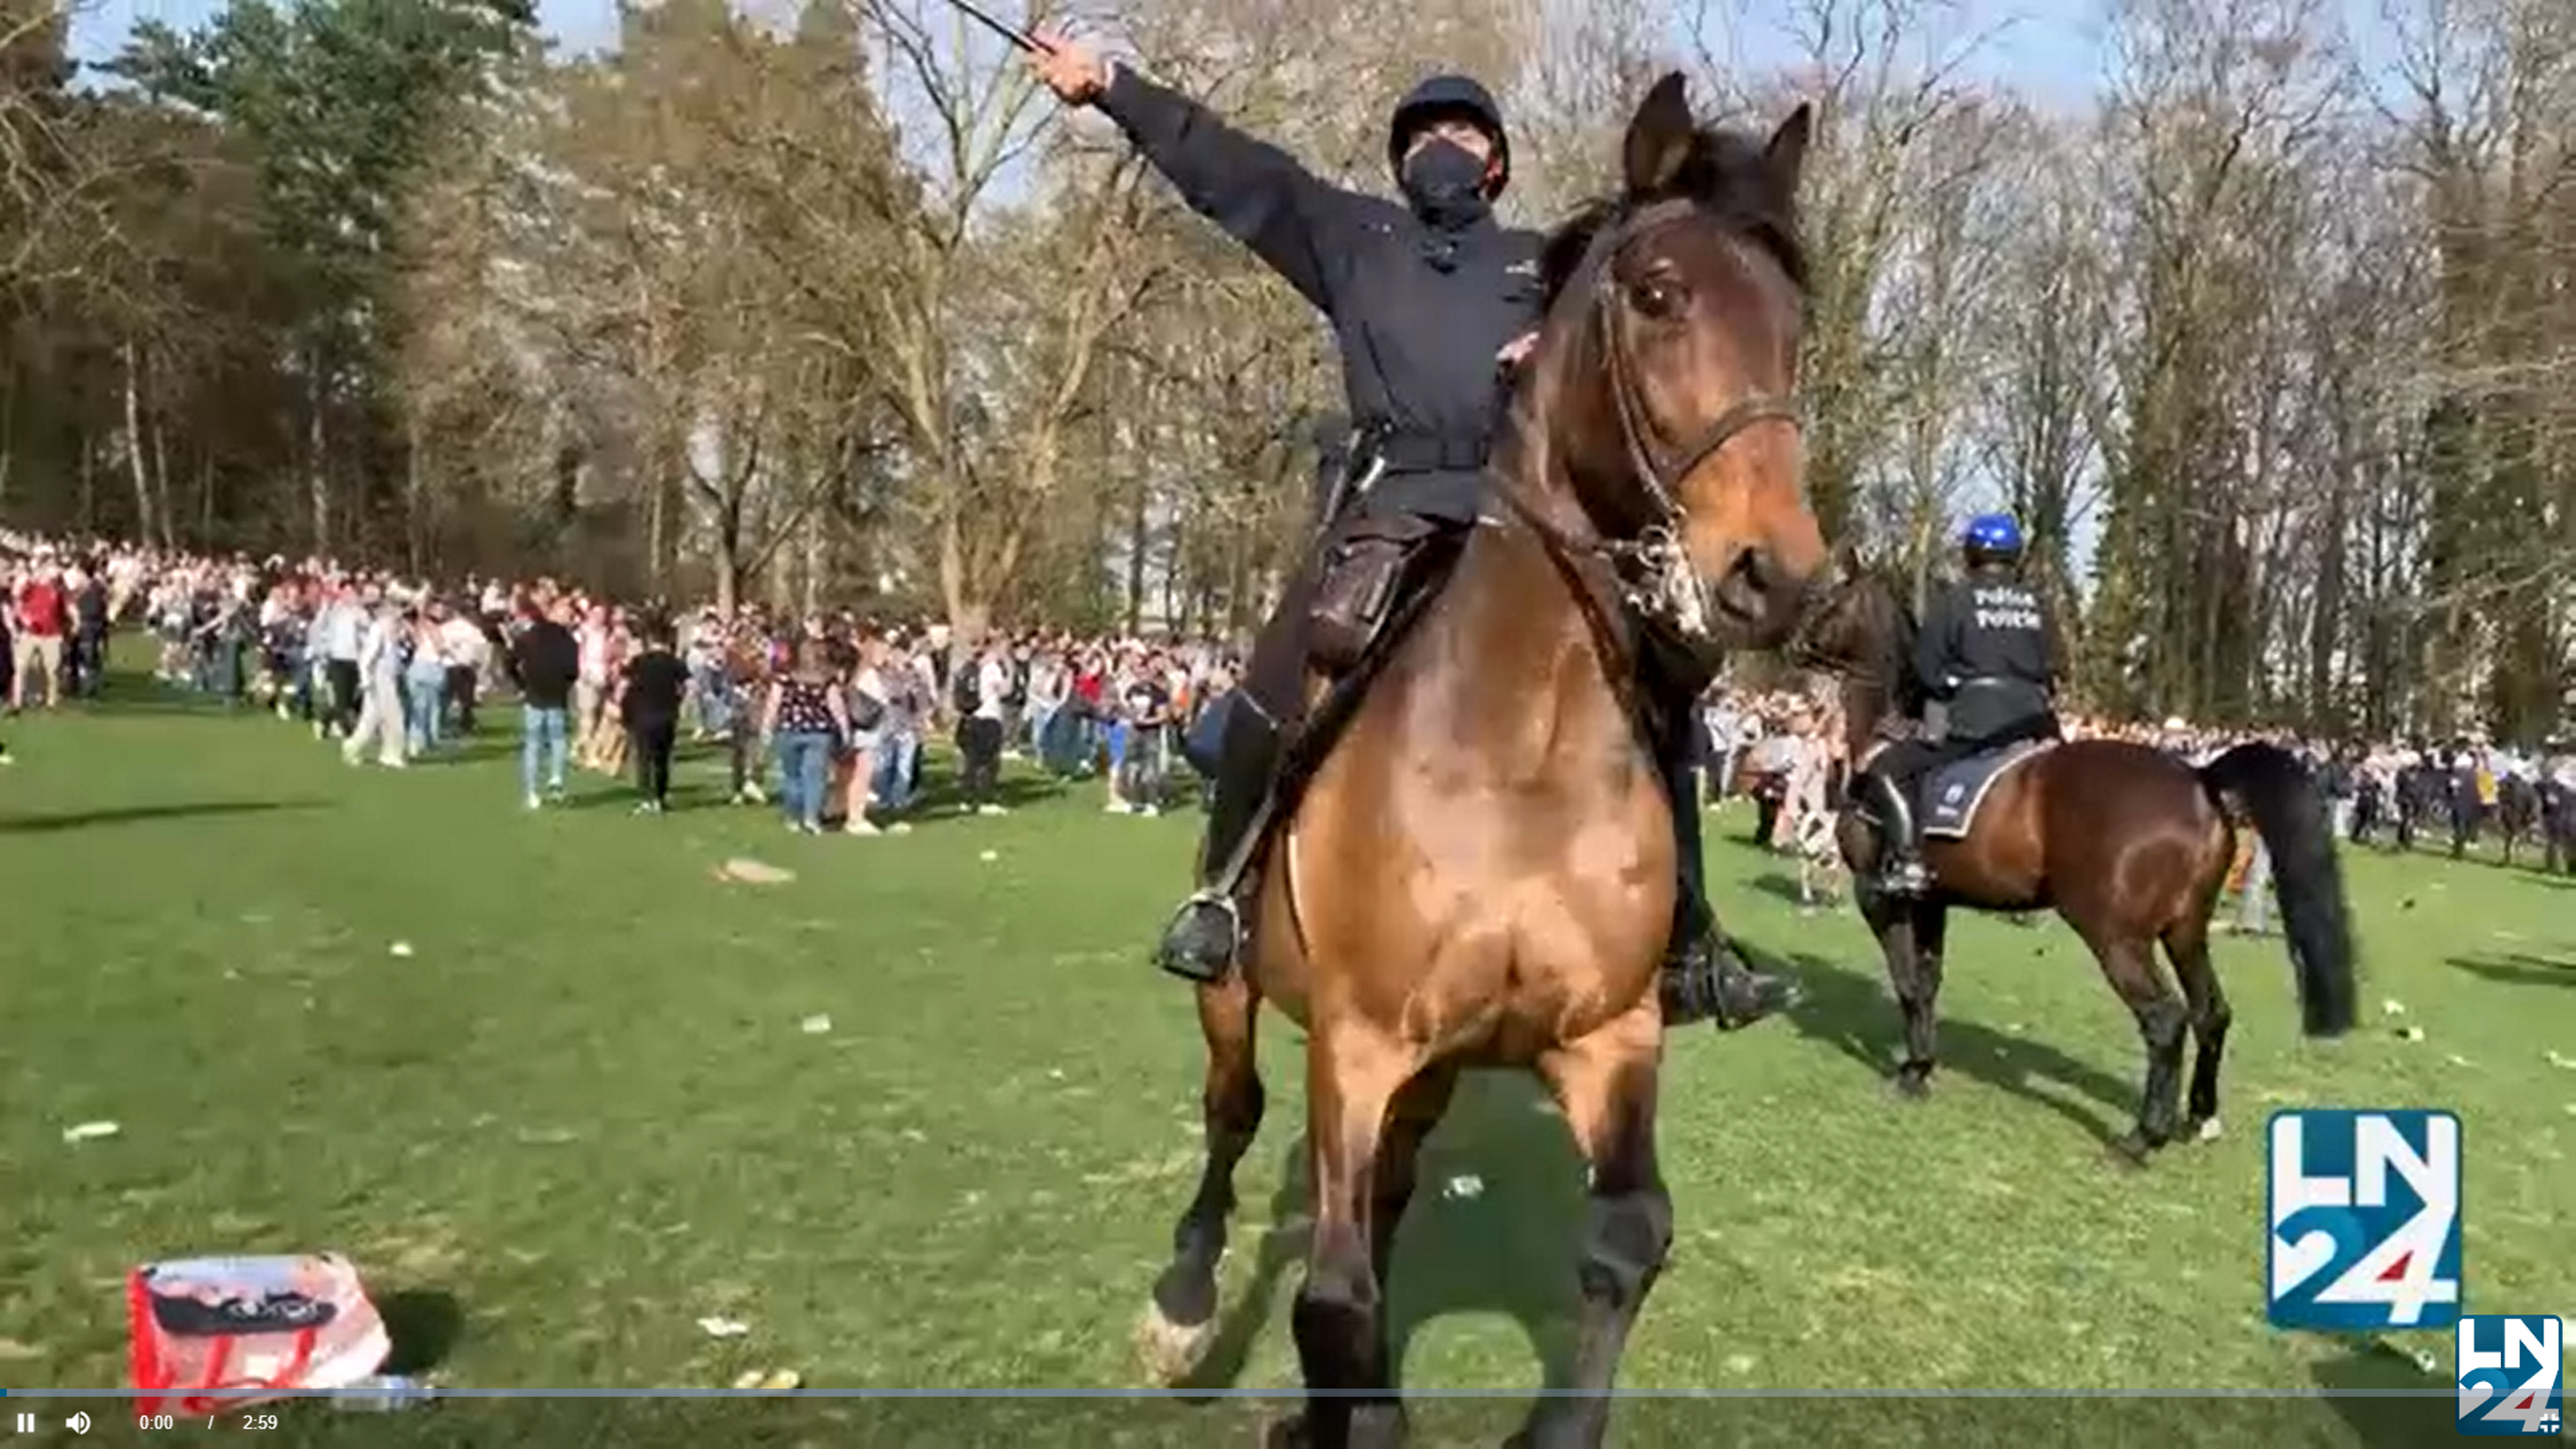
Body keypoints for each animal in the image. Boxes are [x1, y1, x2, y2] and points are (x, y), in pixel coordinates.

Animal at [1133, 79, 1834, 1449]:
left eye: (1793, 320)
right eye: (1658, 293)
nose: (1775, 574)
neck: (1523, 751)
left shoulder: (1607, 1037)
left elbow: (1627, 1235)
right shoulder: (1356, 1044)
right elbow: (1334, 1298)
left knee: (1394, 1191)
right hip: (1239, 994)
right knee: (1234, 1114)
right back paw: (1183, 1301)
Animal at [1793, 568, 2359, 1168]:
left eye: (1828, 601)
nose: (1795, 643)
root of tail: (2199, 779)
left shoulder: (1879, 895)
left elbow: (1905, 981)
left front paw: (1911, 1073)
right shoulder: (1929, 901)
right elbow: (1926, 983)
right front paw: (1921, 1065)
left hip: (2114, 934)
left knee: (2165, 1020)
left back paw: (2142, 1138)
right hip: (2185, 931)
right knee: (2211, 1012)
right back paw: (2198, 1117)